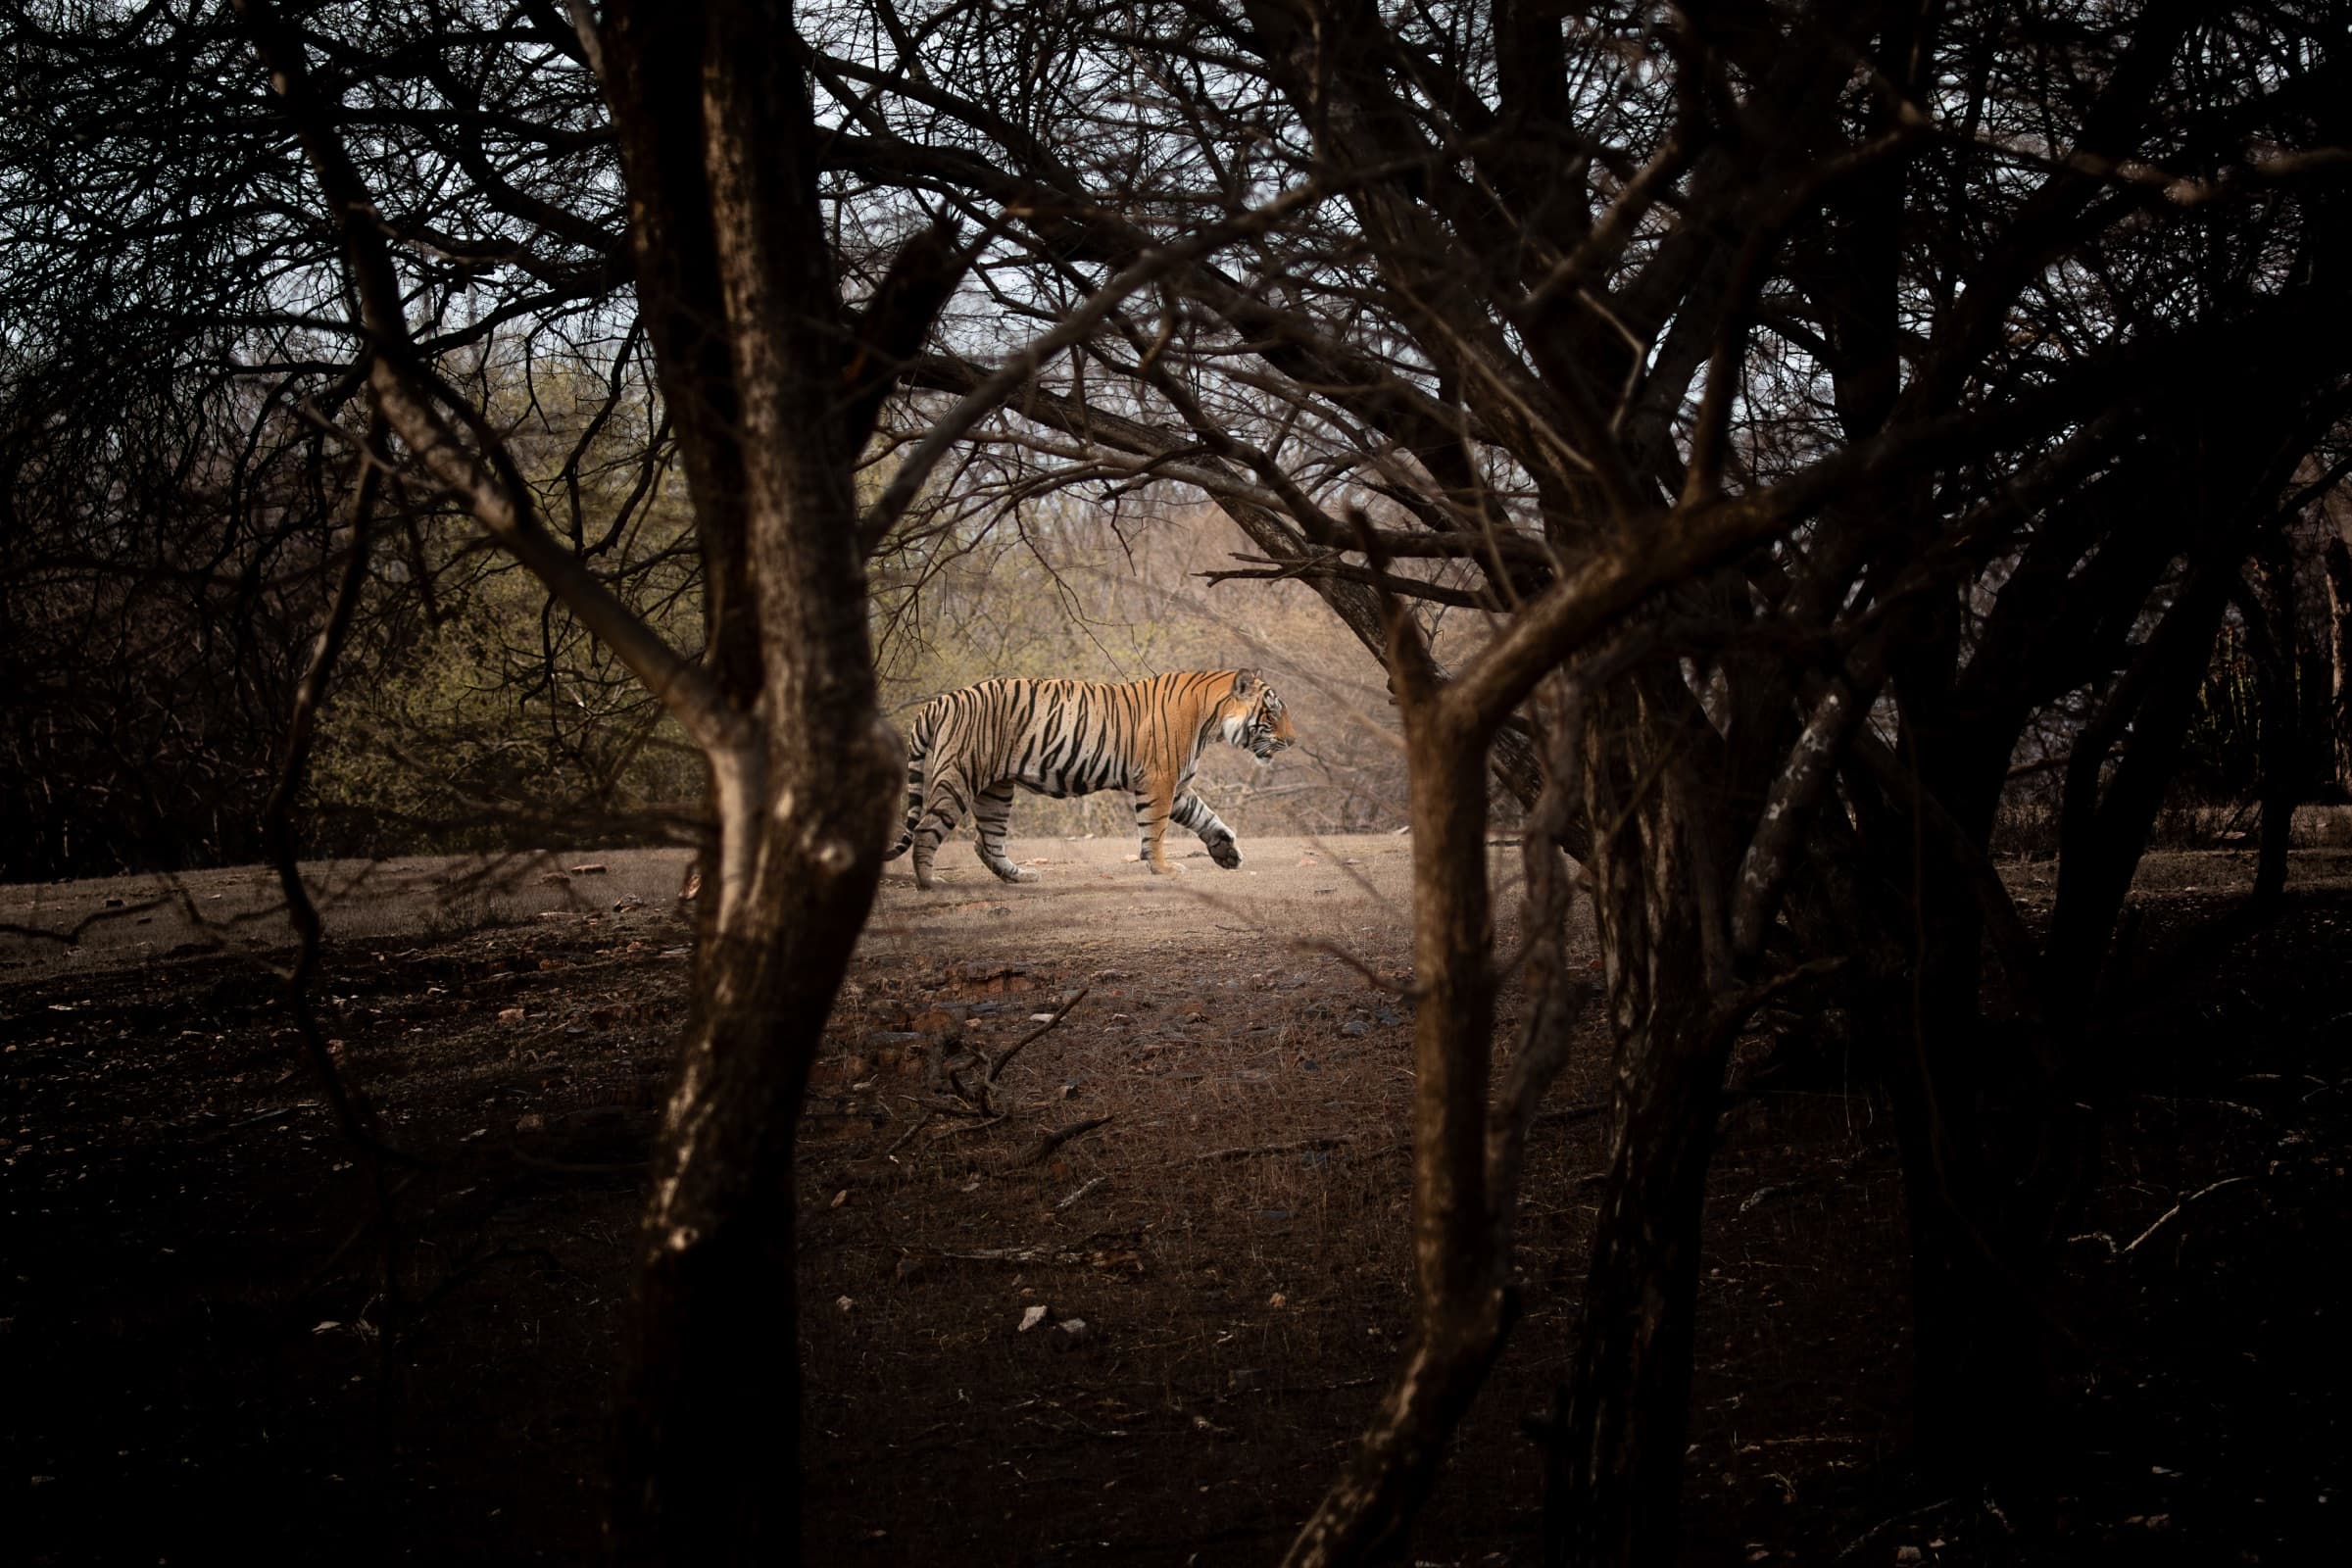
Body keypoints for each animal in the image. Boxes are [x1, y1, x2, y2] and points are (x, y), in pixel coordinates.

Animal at [884, 670, 1294, 889]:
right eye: (1272, 714)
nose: (1292, 741)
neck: (1211, 722)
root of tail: (942, 699)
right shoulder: (1160, 781)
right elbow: (1156, 830)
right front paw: (1163, 868)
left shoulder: (1178, 788)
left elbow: (1206, 817)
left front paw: (1227, 853)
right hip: (959, 776)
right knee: (927, 830)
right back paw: (930, 883)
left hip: (996, 790)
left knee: (987, 842)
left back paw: (1021, 876)